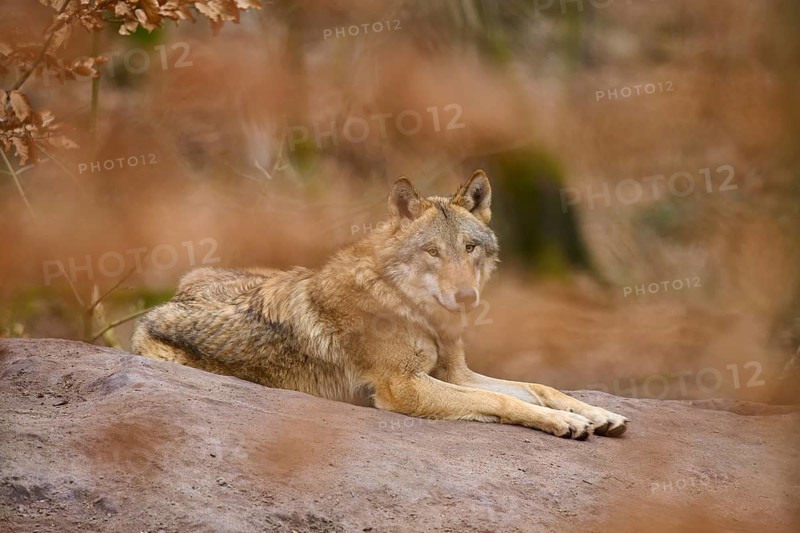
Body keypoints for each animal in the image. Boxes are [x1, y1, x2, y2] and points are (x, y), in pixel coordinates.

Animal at [132, 170, 629, 439]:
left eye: (469, 248)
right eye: (432, 252)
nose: (466, 297)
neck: (413, 310)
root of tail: (157, 308)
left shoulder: (455, 372)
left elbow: (540, 387)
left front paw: (598, 414)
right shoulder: (405, 387)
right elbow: (501, 399)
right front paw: (561, 422)